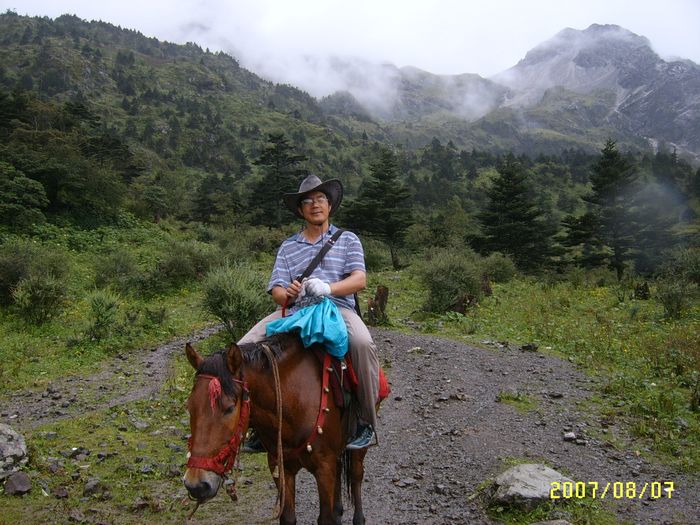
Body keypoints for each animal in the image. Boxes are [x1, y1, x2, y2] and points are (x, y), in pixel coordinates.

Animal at [183, 334, 370, 520]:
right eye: (189, 406)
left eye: (229, 408)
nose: (196, 485)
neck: (294, 399)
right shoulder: (280, 467)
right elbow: (287, 516)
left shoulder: (324, 468)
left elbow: (326, 517)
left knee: (356, 475)